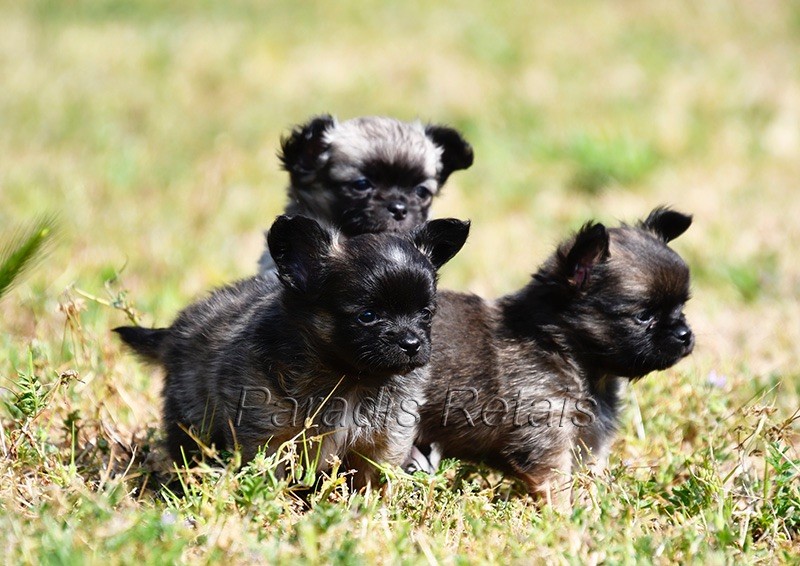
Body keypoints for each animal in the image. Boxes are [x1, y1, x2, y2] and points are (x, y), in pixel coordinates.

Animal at [115, 215, 472, 490]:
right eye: (367, 316)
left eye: (426, 313)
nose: (412, 344)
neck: (350, 377)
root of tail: (176, 330)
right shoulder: (268, 437)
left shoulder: (383, 442)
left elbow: (372, 482)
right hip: (192, 422)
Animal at [406, 210, 692, 506]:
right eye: (644, 316)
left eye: (682, 307)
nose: (685, 334)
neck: (565, 352)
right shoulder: (548, 434)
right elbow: (558, 484)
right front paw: (563, 515)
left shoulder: (592, 439)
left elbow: (591, 480)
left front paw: (594, 511)